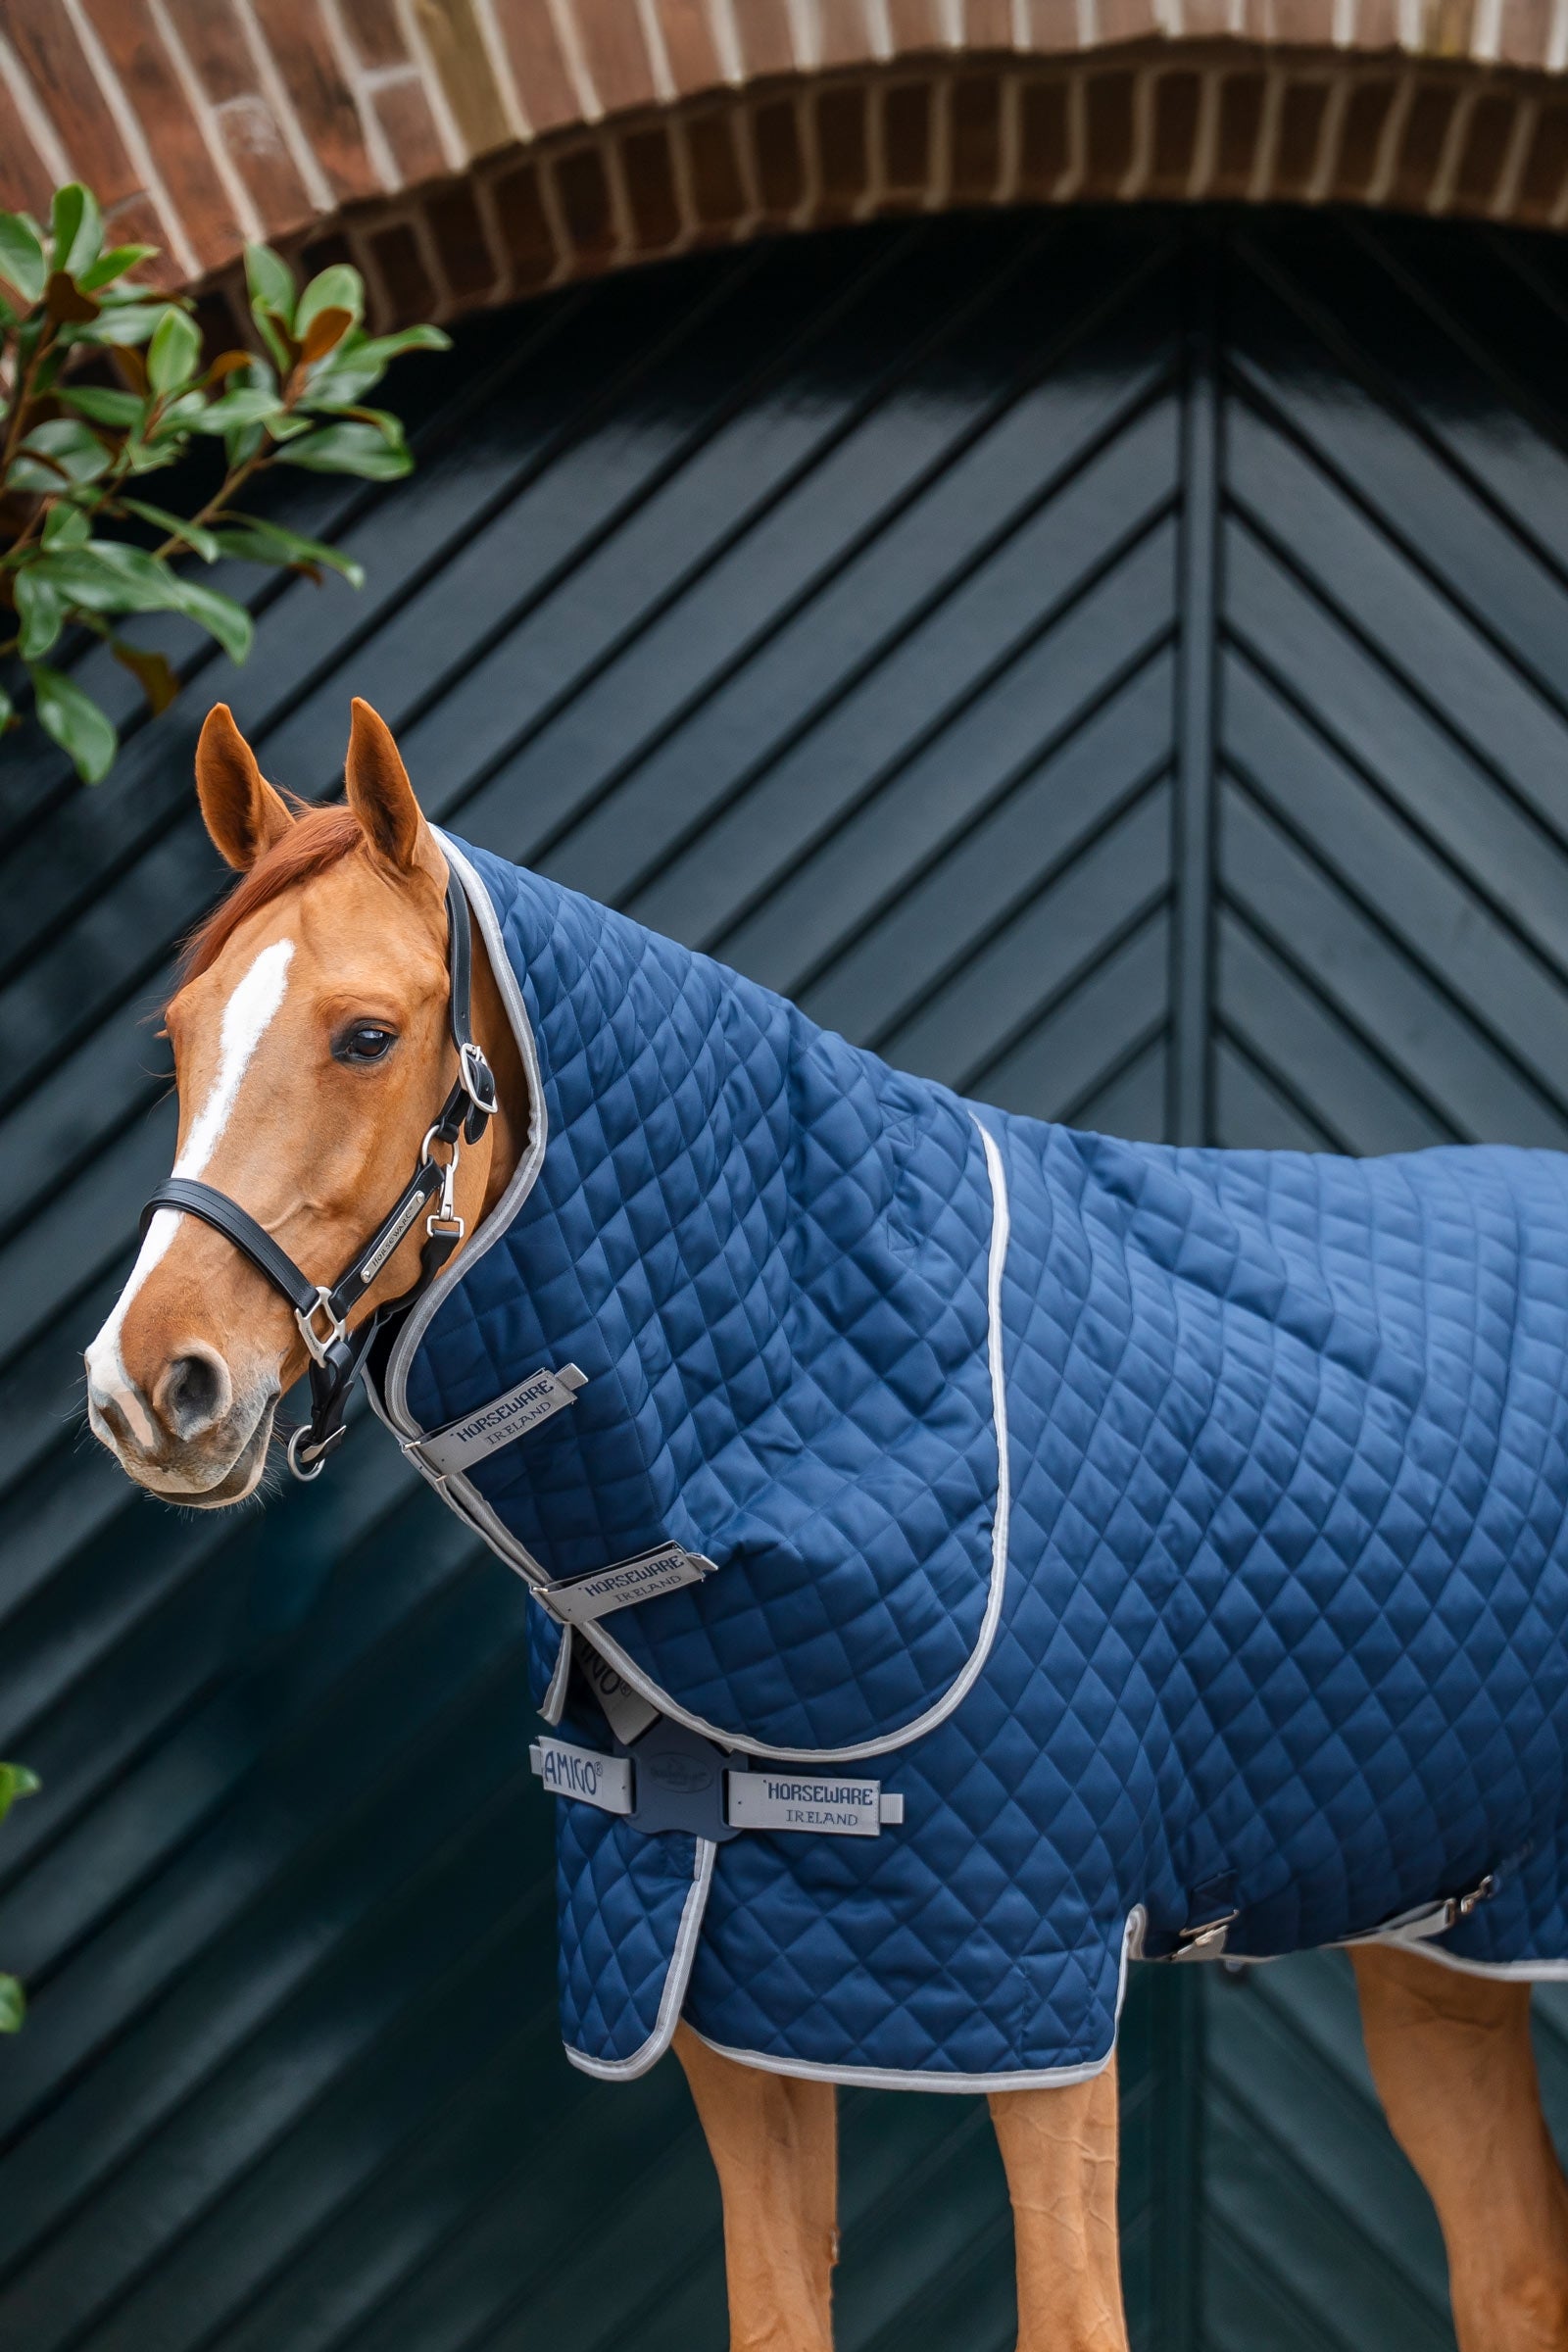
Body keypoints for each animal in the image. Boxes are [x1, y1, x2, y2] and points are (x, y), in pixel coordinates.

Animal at [84, 697, 1568, 2352]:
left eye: (365, 1036)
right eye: (178, 1035)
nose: (151, 1385)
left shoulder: (1033, 2007)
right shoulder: (726, 2013)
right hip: (1447, 1946)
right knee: (1515, 2267)